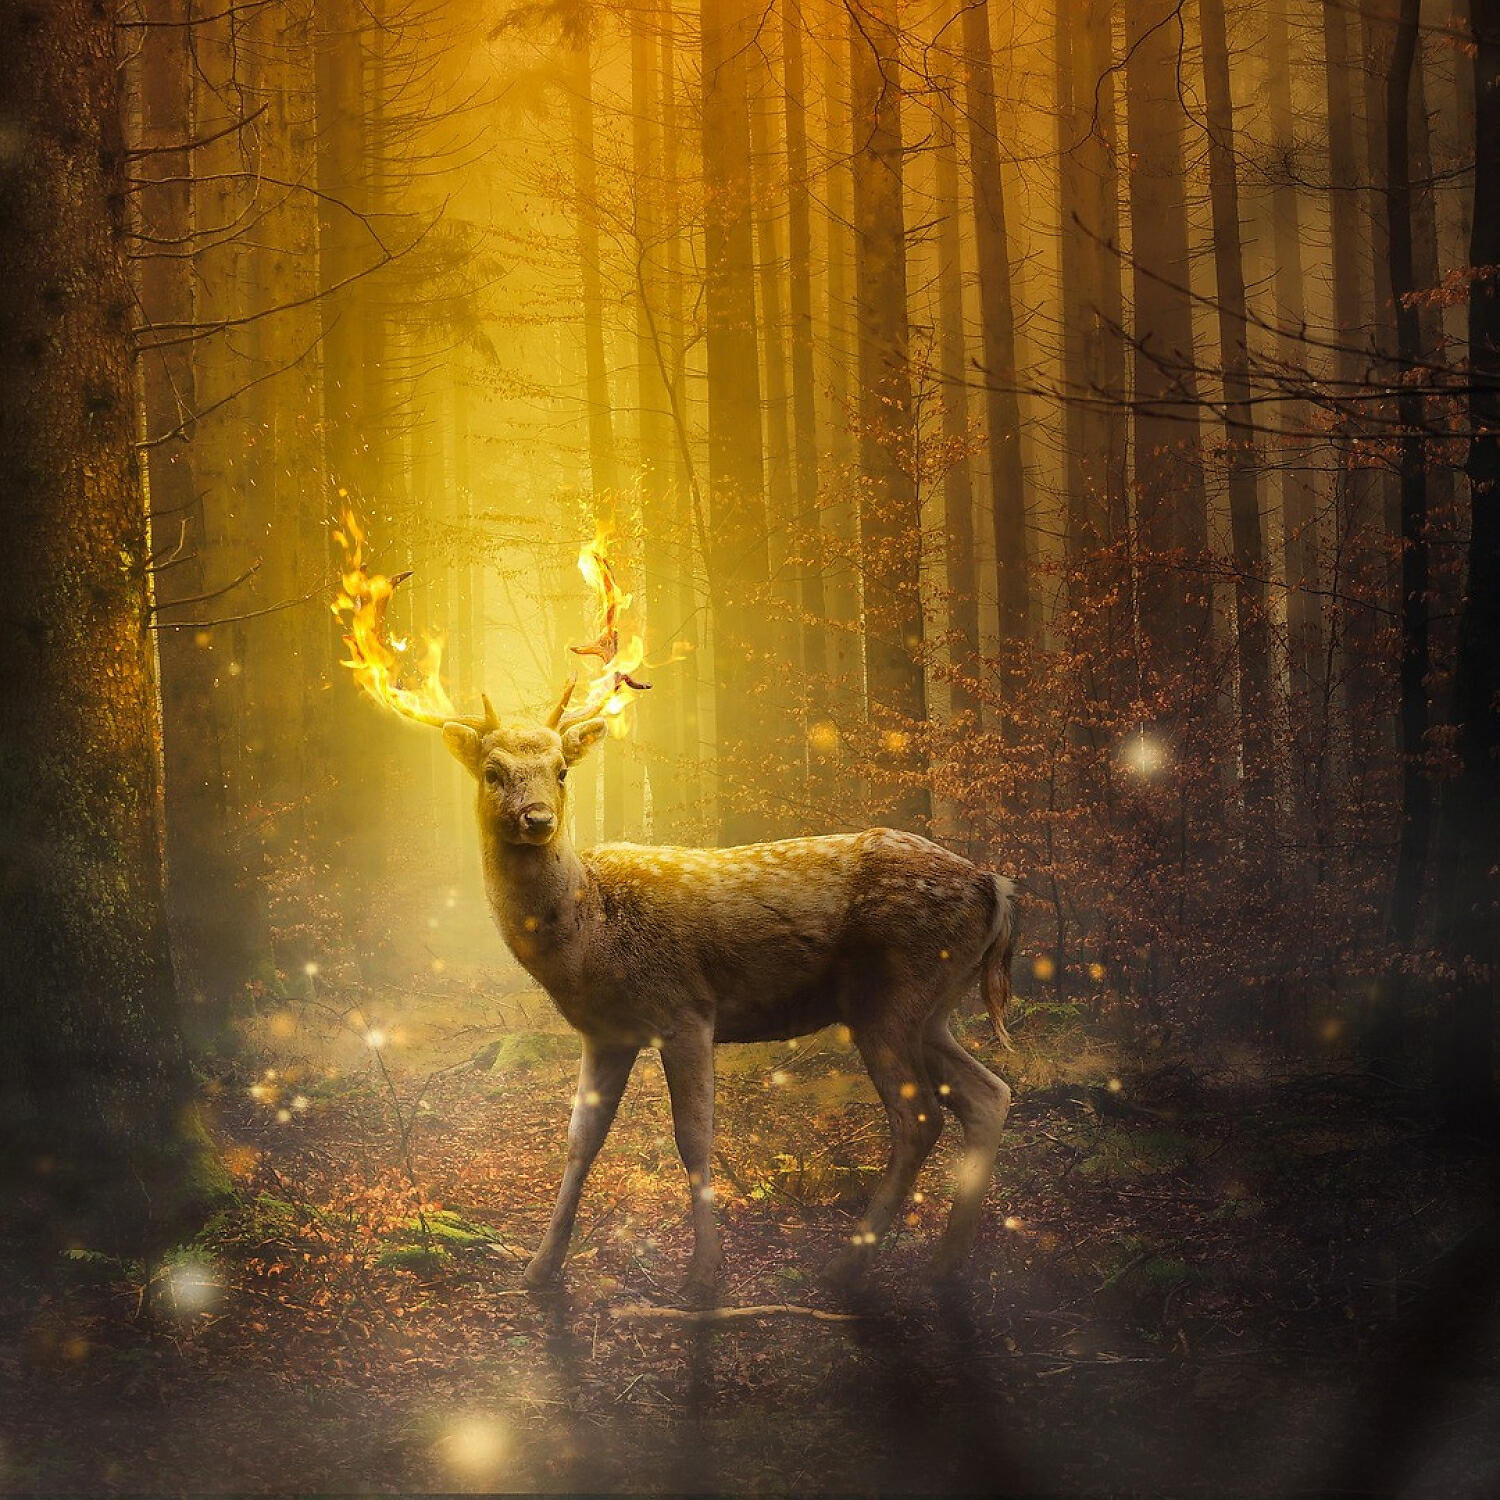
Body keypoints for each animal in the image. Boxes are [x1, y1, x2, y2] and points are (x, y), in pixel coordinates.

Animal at [440, 686, 1017, 1306]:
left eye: (562, 770)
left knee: (919, 1117)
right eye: (493, 772)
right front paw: (540, 1269)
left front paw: (703, 1274)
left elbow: (693, 1136)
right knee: (989, 1094)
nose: (538, 818)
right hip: (930, 1010)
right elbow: (580, 1140)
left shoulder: (685, 1010)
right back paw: (945, 1267)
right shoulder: (605, 1033)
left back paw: (845, 1268)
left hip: (890, 997)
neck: (588, 930)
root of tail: (995, 886)